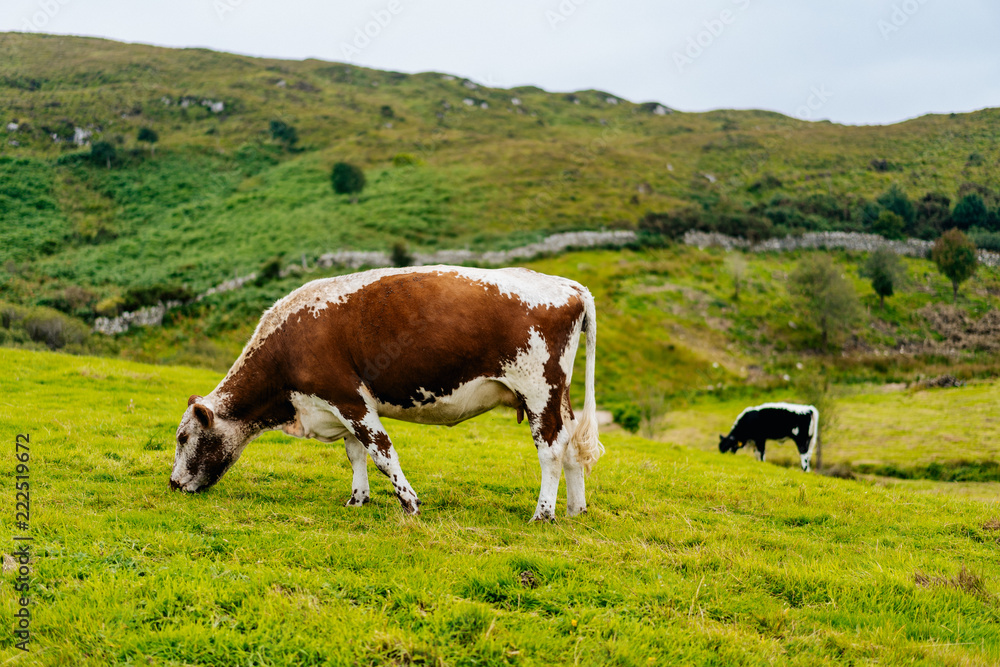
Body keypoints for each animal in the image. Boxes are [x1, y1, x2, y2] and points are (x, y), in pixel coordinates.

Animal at [170, 264, 600, 520]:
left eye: (183, 437)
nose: (173, 484)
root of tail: (568, 284)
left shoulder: (348, 397)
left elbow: (381, 451)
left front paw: (409, 502)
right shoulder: (336, 407)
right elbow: (356, 453)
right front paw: (358, 498)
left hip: (539, 390)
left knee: (550, 449)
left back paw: (543, 513)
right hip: (558, 395)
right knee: (571, 446)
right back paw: (575, 509)